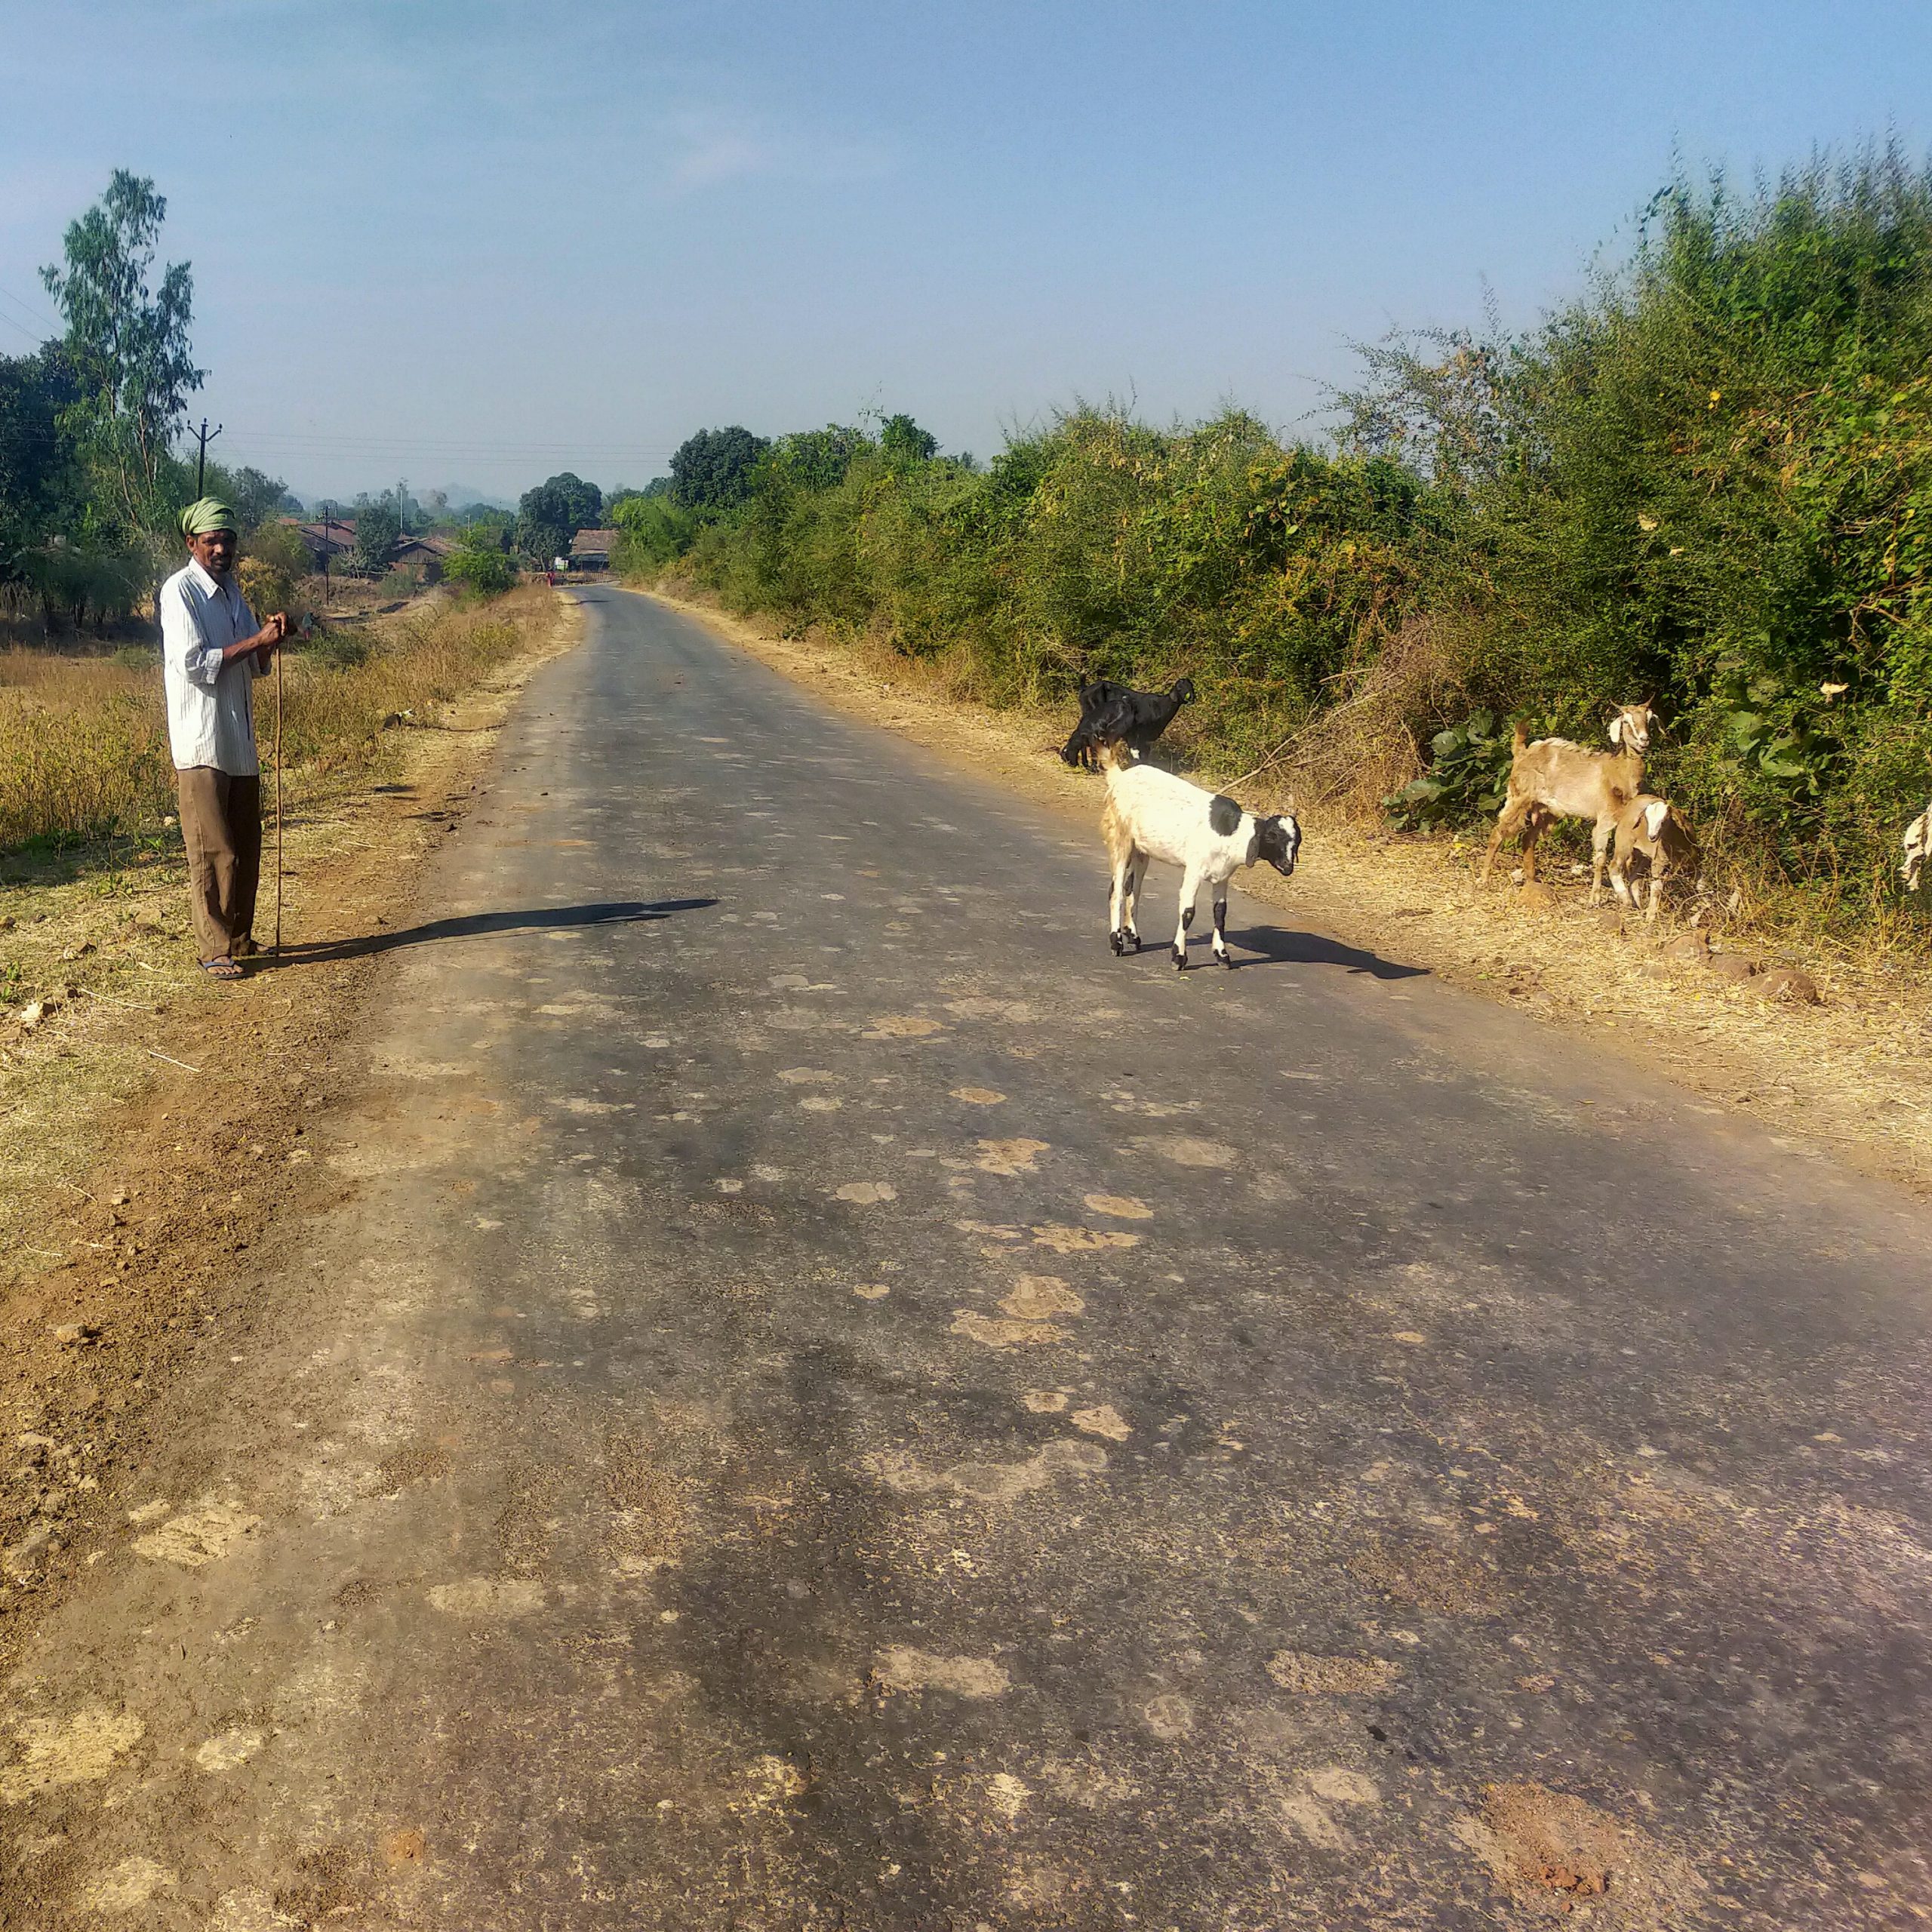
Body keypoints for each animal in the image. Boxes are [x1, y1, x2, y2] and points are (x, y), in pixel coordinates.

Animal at [1097, 746, 1306, 974]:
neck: (1230, 831)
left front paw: (1222, 956)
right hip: (1120, 838)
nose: (1287, 867)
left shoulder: (1223, 875)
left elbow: (1220, 913)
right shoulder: (1194, 871)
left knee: (1132, 887)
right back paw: (1116, 942)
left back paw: (1133, 935)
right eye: (1271, 837)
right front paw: (1178, 957)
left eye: (1297, 841)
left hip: (1142, 850)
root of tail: (1121, 777)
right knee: (1116, 890)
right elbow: (1188, 912)